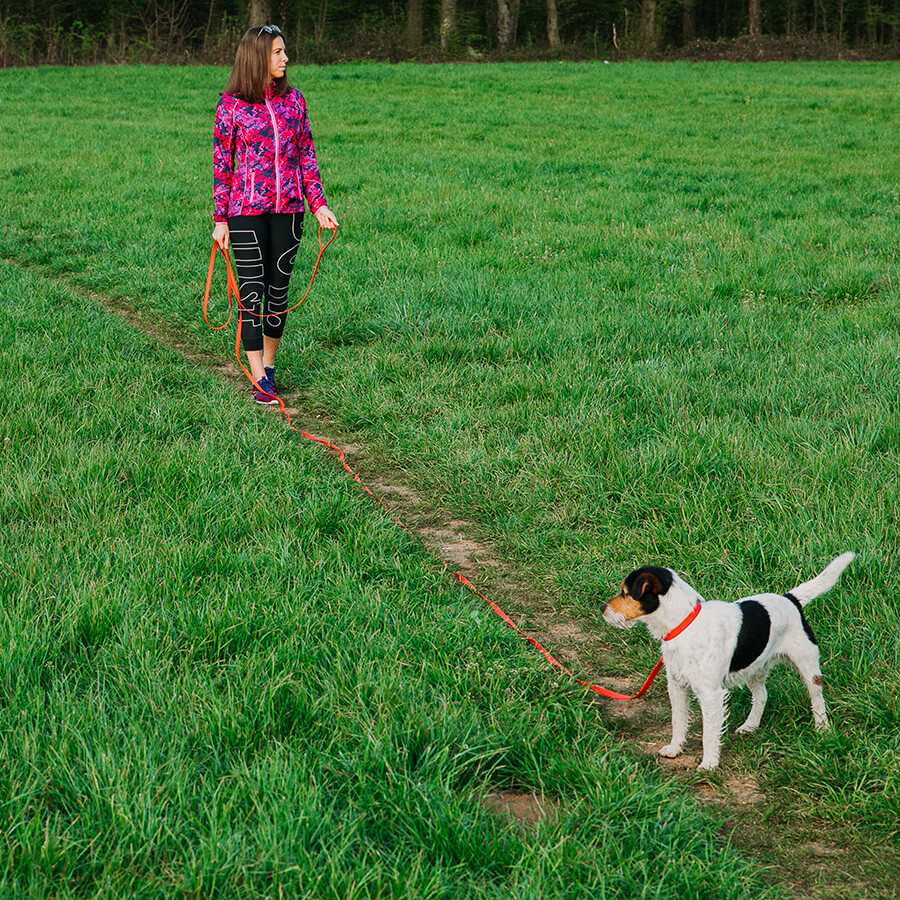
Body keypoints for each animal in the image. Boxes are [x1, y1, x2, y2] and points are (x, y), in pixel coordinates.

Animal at [600, 552, 856, 768]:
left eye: (625, 592)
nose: (602, 607)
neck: (684, 624)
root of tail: (791, 599)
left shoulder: (710, 694)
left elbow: (708, 733)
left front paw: (709, 764)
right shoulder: (677, 685)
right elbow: (678, 720)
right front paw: (675, 748)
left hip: (807, 665)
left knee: (817, 698)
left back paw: (822, 729)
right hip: (754, 668)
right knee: (762, 695)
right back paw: (750, 726)